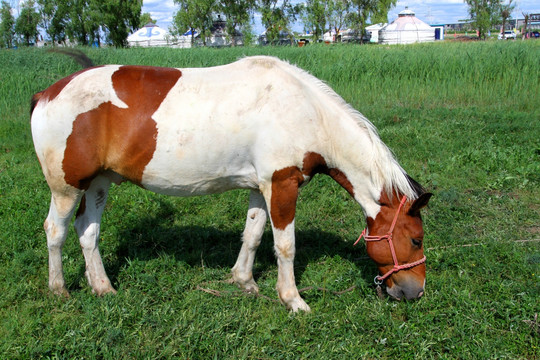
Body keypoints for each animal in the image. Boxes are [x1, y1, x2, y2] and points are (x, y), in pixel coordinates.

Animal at [31, 54, 432, 310]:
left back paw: (103, 287)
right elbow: (285, 246)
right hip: (66, 187)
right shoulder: (282, 185)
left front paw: (244, 281)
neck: (306, 111)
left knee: (87, 232)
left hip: (99, 182)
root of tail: (45, 94)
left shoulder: (260, 186)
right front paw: (293, 300)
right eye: (415, 239)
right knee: (56, 230)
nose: (415, 292)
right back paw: (59, 289)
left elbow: (252, 235)